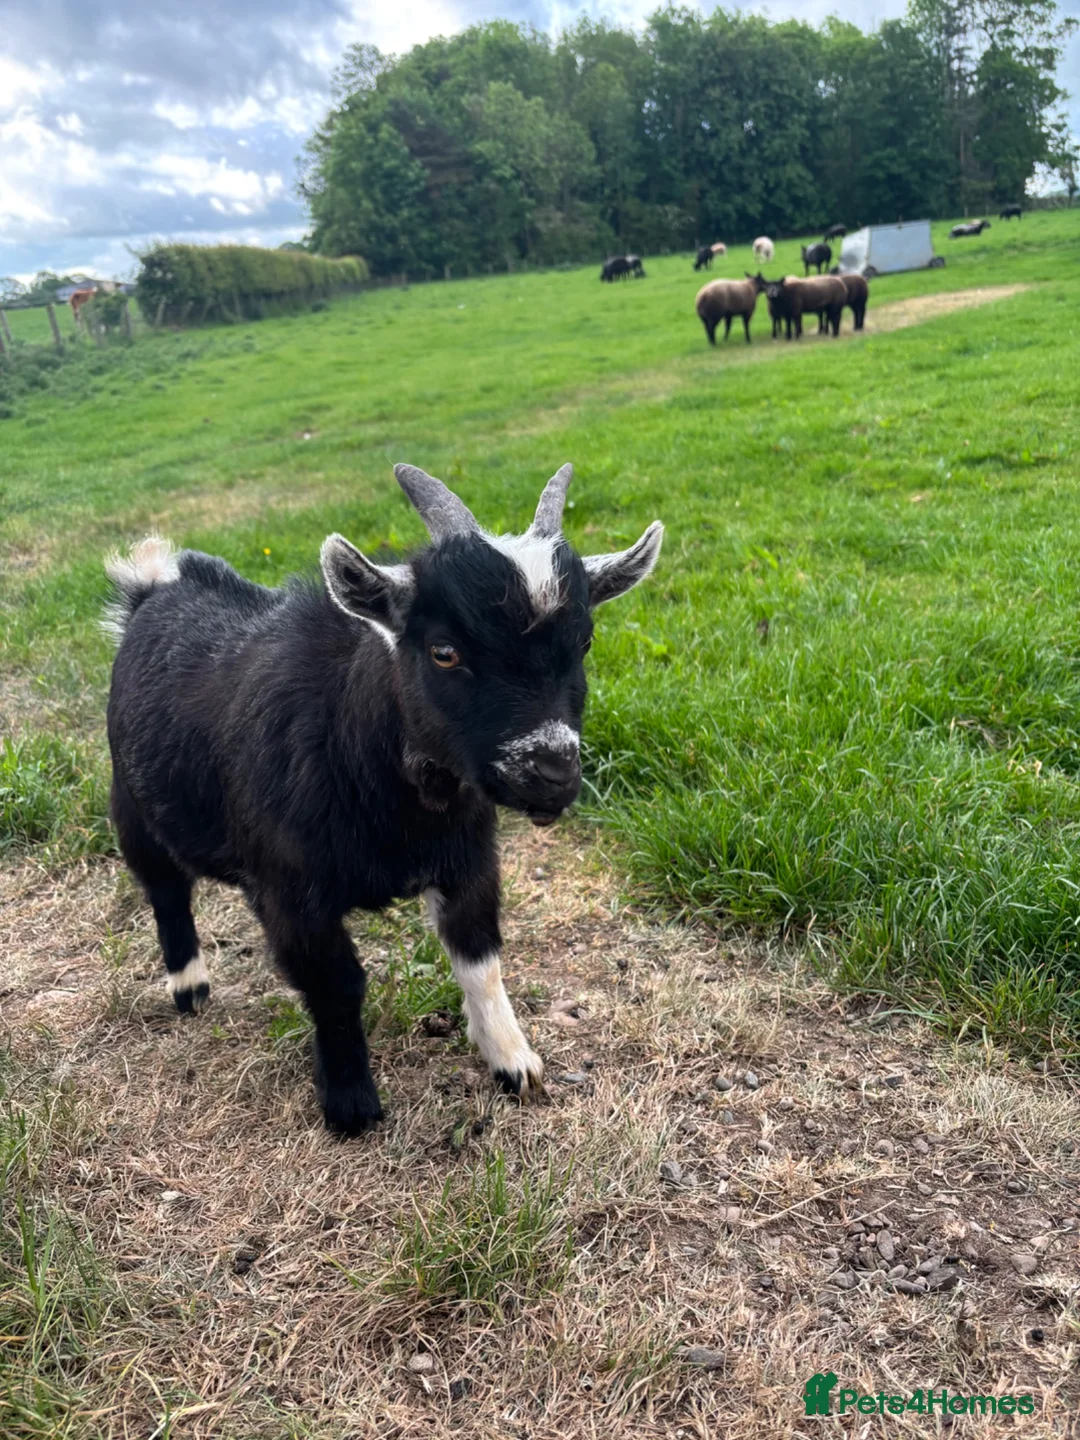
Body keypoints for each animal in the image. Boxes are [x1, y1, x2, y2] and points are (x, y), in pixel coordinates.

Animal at [104, 467, 664, 1134]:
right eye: (444, 651)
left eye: (584, 643)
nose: (552, 772)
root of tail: (155, 587)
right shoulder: (292, 893)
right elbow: (337, 985)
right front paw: (351, 1105)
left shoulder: (469, 863)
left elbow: (480, 958)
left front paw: (514, 1063)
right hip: (131, 804)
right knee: (165, 890)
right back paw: (189, 989)